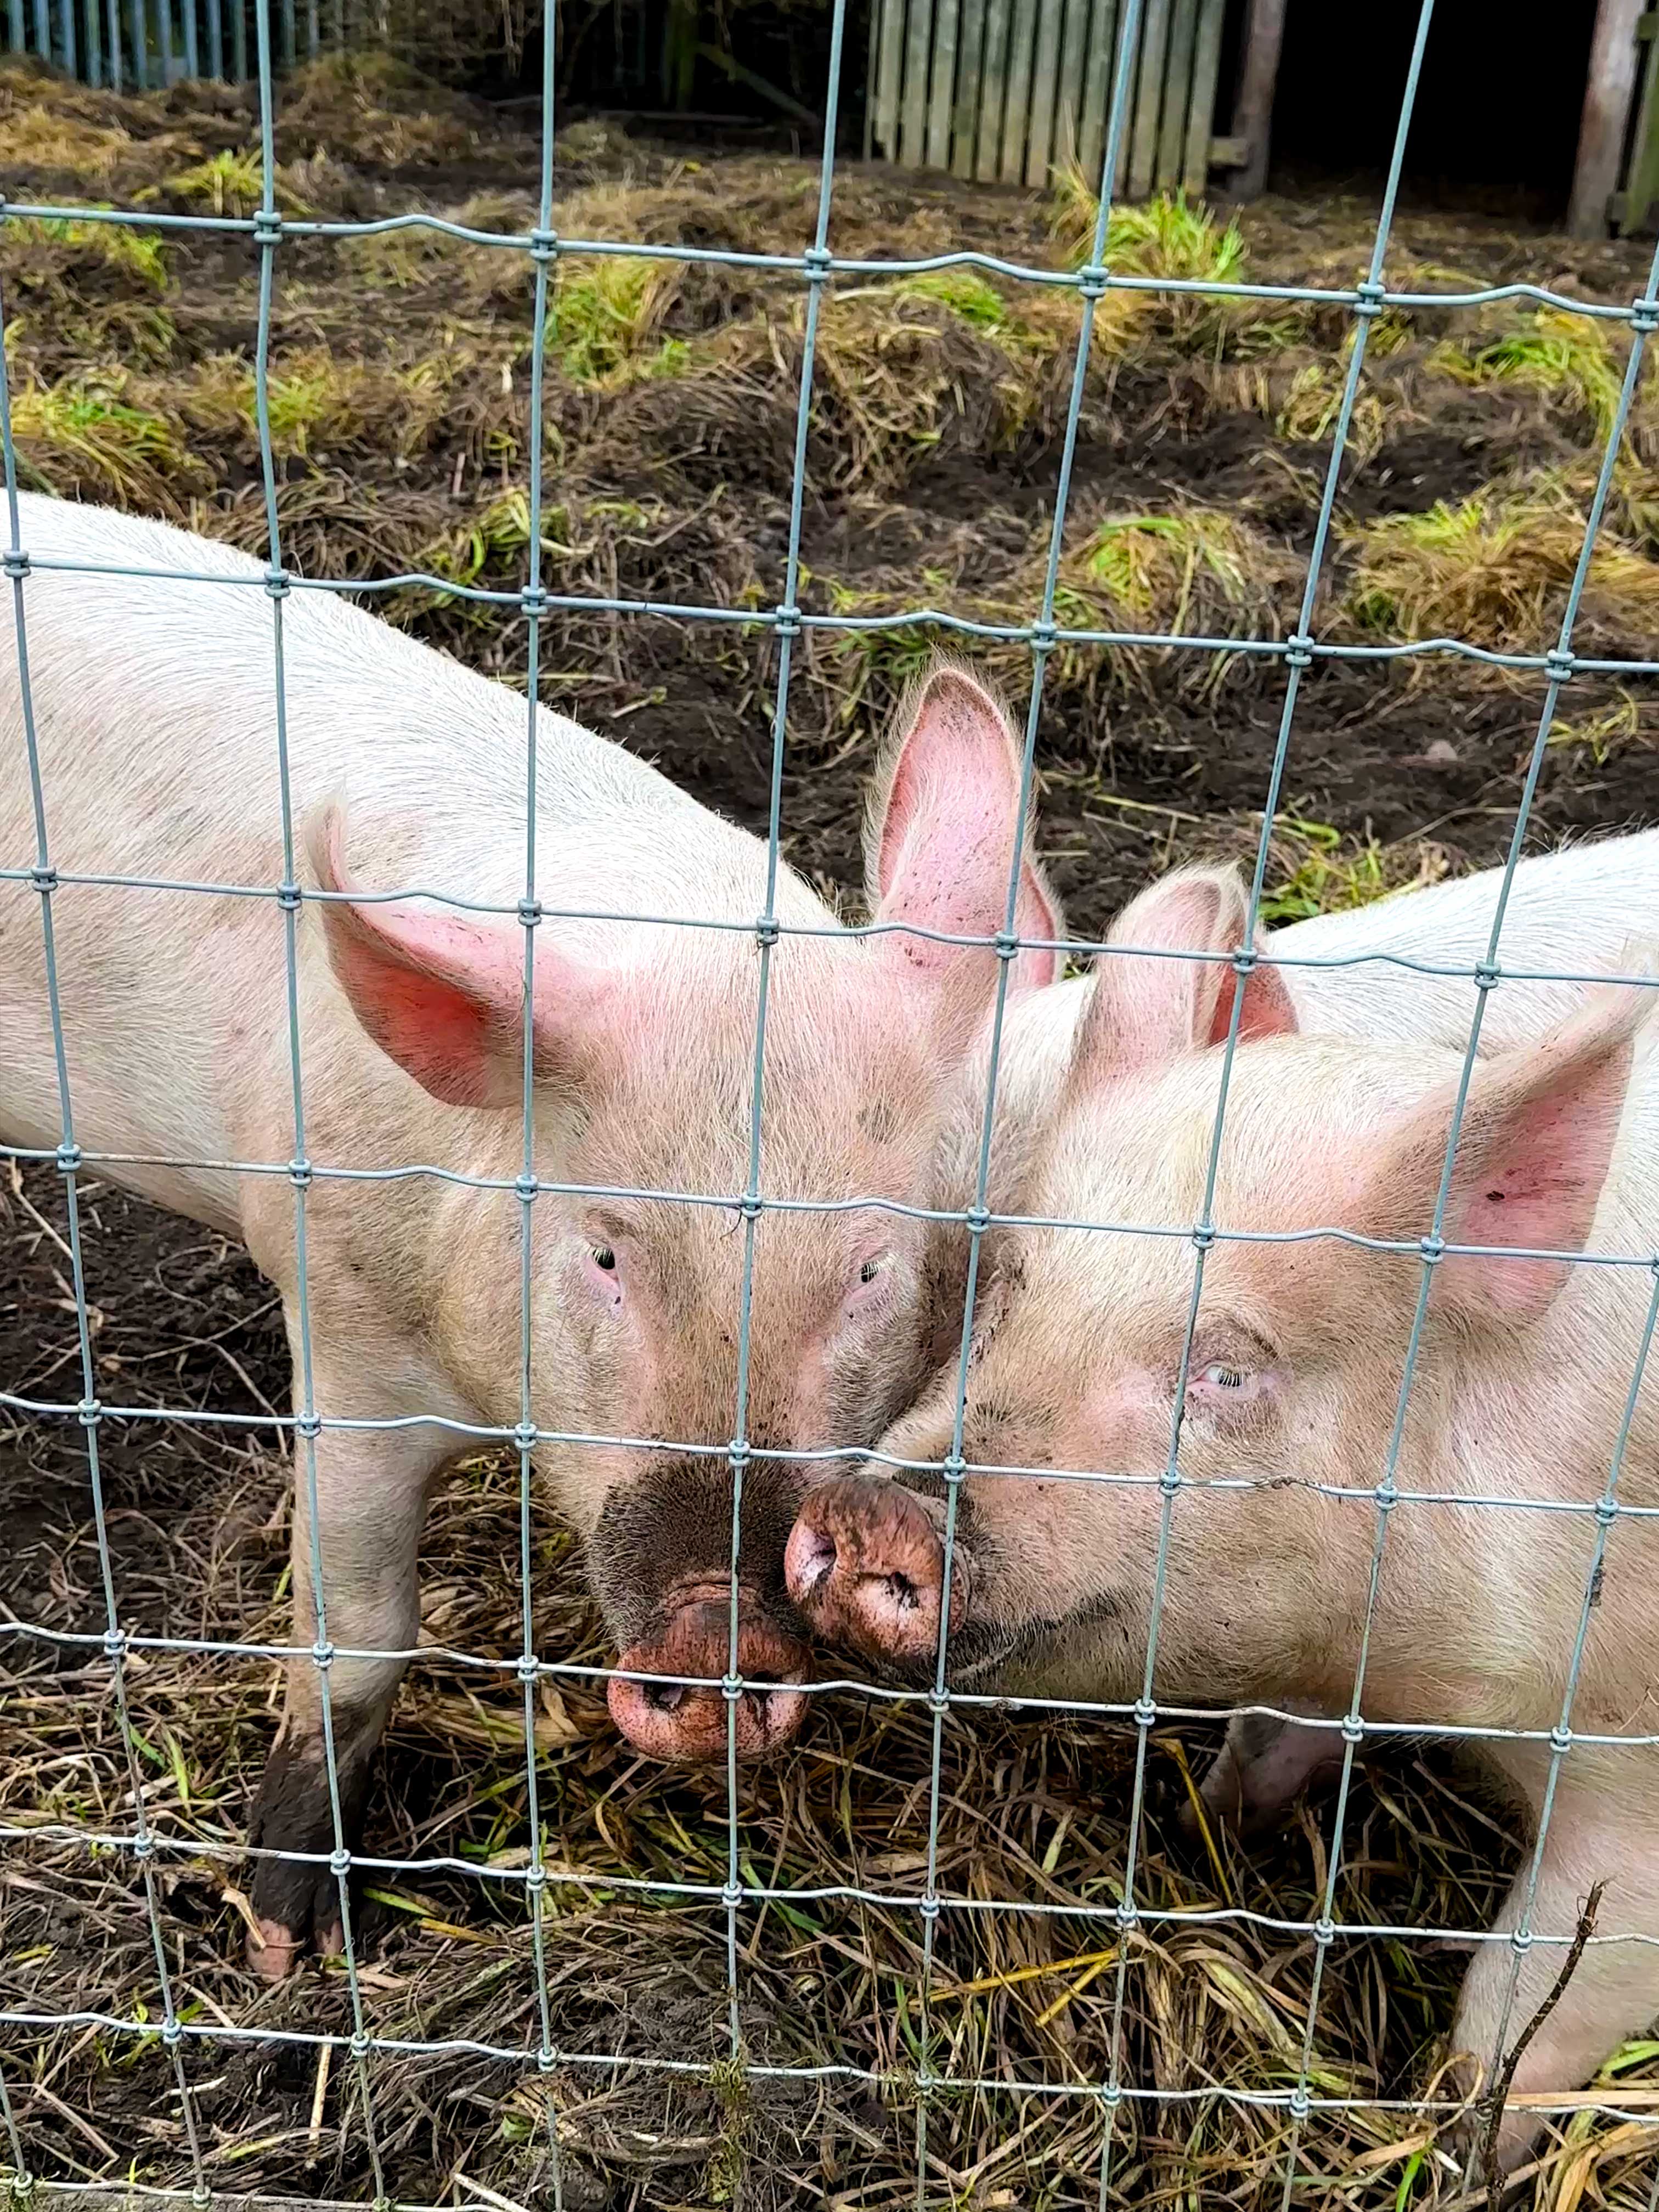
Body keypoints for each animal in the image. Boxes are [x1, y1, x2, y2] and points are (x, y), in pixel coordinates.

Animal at [0, 499, 1063, 1977]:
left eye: (868, 1268)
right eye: (605, 1251)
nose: (723, 1638)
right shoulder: (341, 1328)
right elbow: (357, 1638)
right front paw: (279, 1944)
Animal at [788, 861, 1659, 2172]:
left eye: (1231, 1372)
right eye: (1013, 1285)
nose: (869, 1503)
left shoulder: (1632, 1781)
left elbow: (1531, 1994)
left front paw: (1450, 2141)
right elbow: (1267, 1736)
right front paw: (1215, 1818)